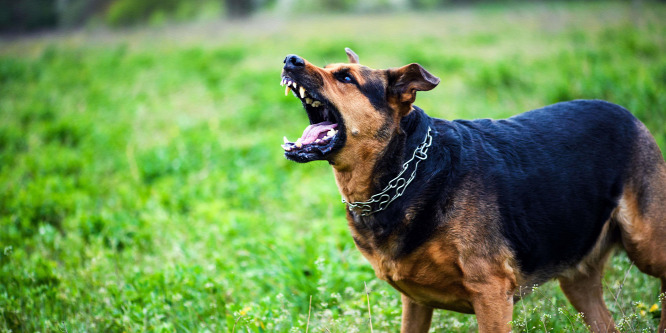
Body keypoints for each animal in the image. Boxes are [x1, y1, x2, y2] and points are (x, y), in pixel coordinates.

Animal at [276, 48, 664, 330]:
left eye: (345, 77)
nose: (290, 60)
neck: (406, 170)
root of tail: (628, 114)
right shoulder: (415, 303)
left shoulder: (491, 294)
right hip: (578, 276)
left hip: (645, 243)